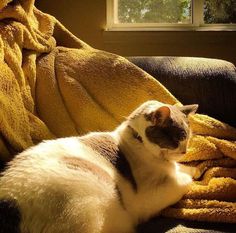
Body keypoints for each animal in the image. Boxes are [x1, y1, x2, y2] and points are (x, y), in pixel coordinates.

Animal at [0, 99, 198, 233]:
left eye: (188, 137)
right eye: (180, 137)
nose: (185, 151)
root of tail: (10, 205)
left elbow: (184, 169)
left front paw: (194, 169)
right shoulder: (150, 198)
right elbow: (185, 181)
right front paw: (192, 175)